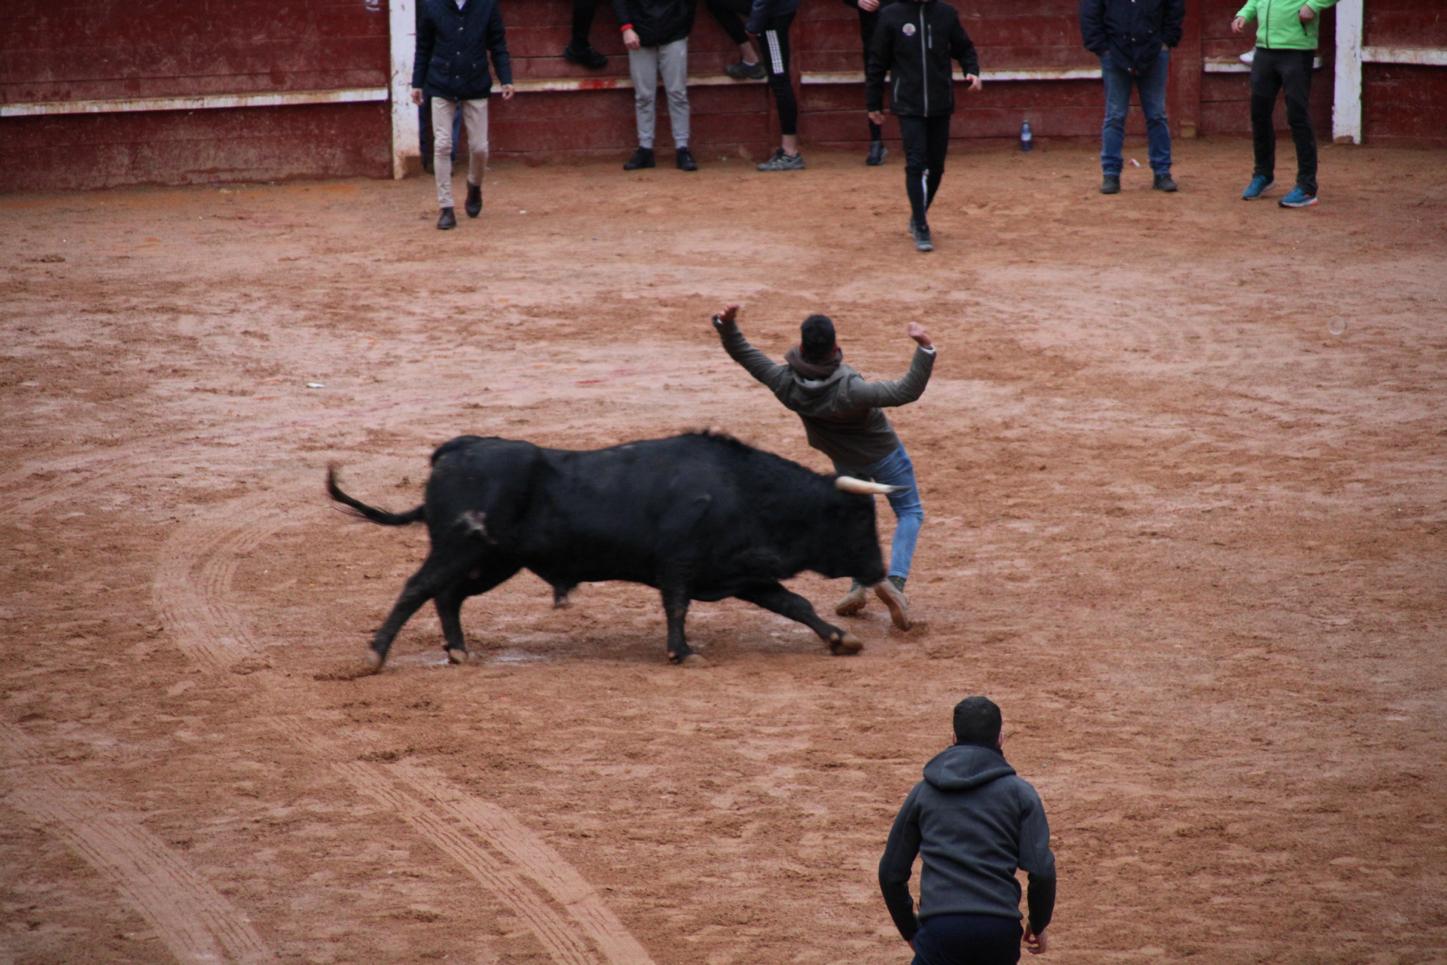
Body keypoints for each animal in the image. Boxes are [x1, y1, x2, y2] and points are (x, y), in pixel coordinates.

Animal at [327, 434, 891, 668]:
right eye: (859, 521)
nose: (880, 570)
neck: (742, 487)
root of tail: (455, 450)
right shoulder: (679, 565)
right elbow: (677, 606)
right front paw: (683, 653)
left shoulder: (740, 573)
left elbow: (794, 603)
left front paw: (841, 638)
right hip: (461, 549)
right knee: (419, 587)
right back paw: (375, 656)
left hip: (493, 562)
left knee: (447, 596)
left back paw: (459, 652)